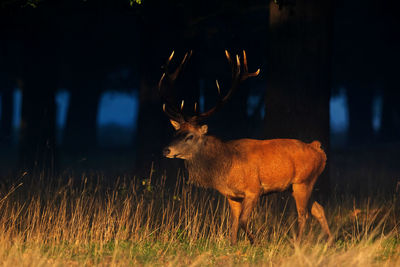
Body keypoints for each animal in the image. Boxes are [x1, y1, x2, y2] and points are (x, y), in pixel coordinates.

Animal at [159, 50, 332, 247]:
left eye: (190, 136)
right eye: (176, 132)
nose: (166, 150)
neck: (226, 166)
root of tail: (318, 149)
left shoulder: (253, 189)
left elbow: (242, 220)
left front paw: (255, 242)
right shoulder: (231, 195)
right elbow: (233, 222)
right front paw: (232, 245)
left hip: (303, 181)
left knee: (304, 215)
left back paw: (297, 243)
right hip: (300, 184)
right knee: (318, 209)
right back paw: (330, 241)